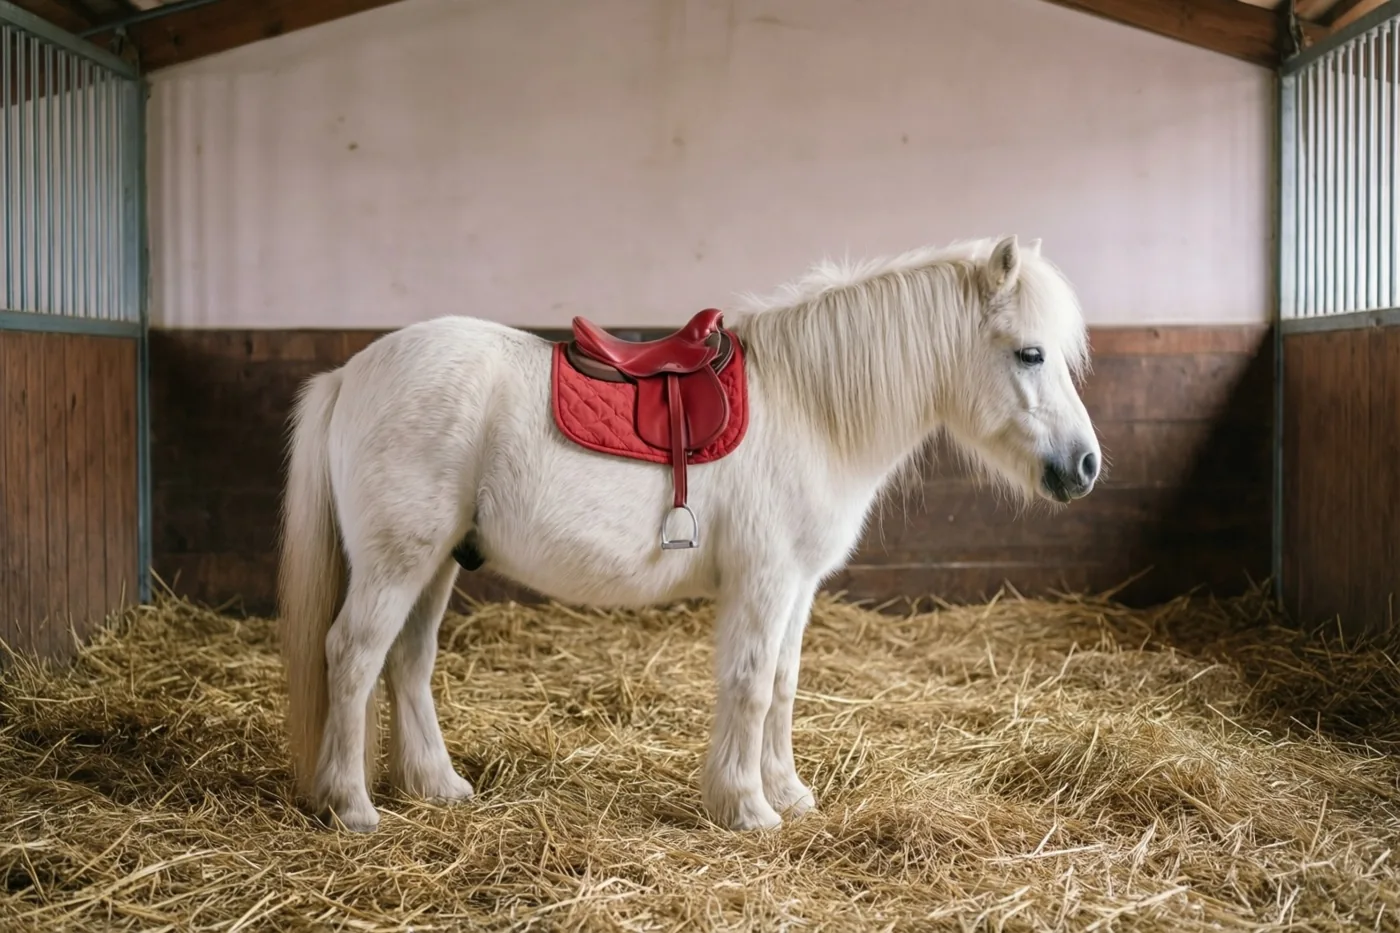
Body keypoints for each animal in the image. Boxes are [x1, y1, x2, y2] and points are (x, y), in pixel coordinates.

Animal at [277, 234, 1101, 833]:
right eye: (1030, 352)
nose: (1085, 465)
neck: (809, 407)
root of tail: (350, 373)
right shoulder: (764, 581)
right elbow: (750, 684)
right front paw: (747, 807)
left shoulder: (797, 586)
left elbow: (783, 684)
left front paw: (786, 792)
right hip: (398, 560)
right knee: (353, 656)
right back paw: (352, 806)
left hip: (440, 561)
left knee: (407, 662)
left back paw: (438, 785)